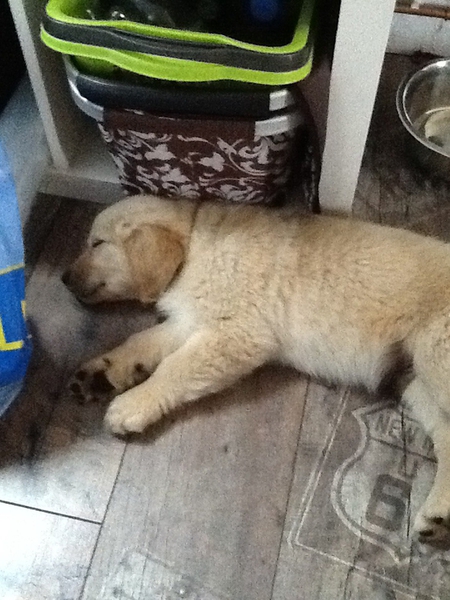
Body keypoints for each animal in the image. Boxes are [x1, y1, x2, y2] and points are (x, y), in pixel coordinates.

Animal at [63, 195, 450, 542]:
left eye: (97, 244)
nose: (63, 278)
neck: (193, 247)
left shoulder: (237, 334)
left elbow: (174, 369)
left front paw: (133, 404)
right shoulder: (190, 321)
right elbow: (141, 342)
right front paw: (101, 374)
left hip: (436, 358)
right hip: (416, 382)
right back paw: (438, 516)